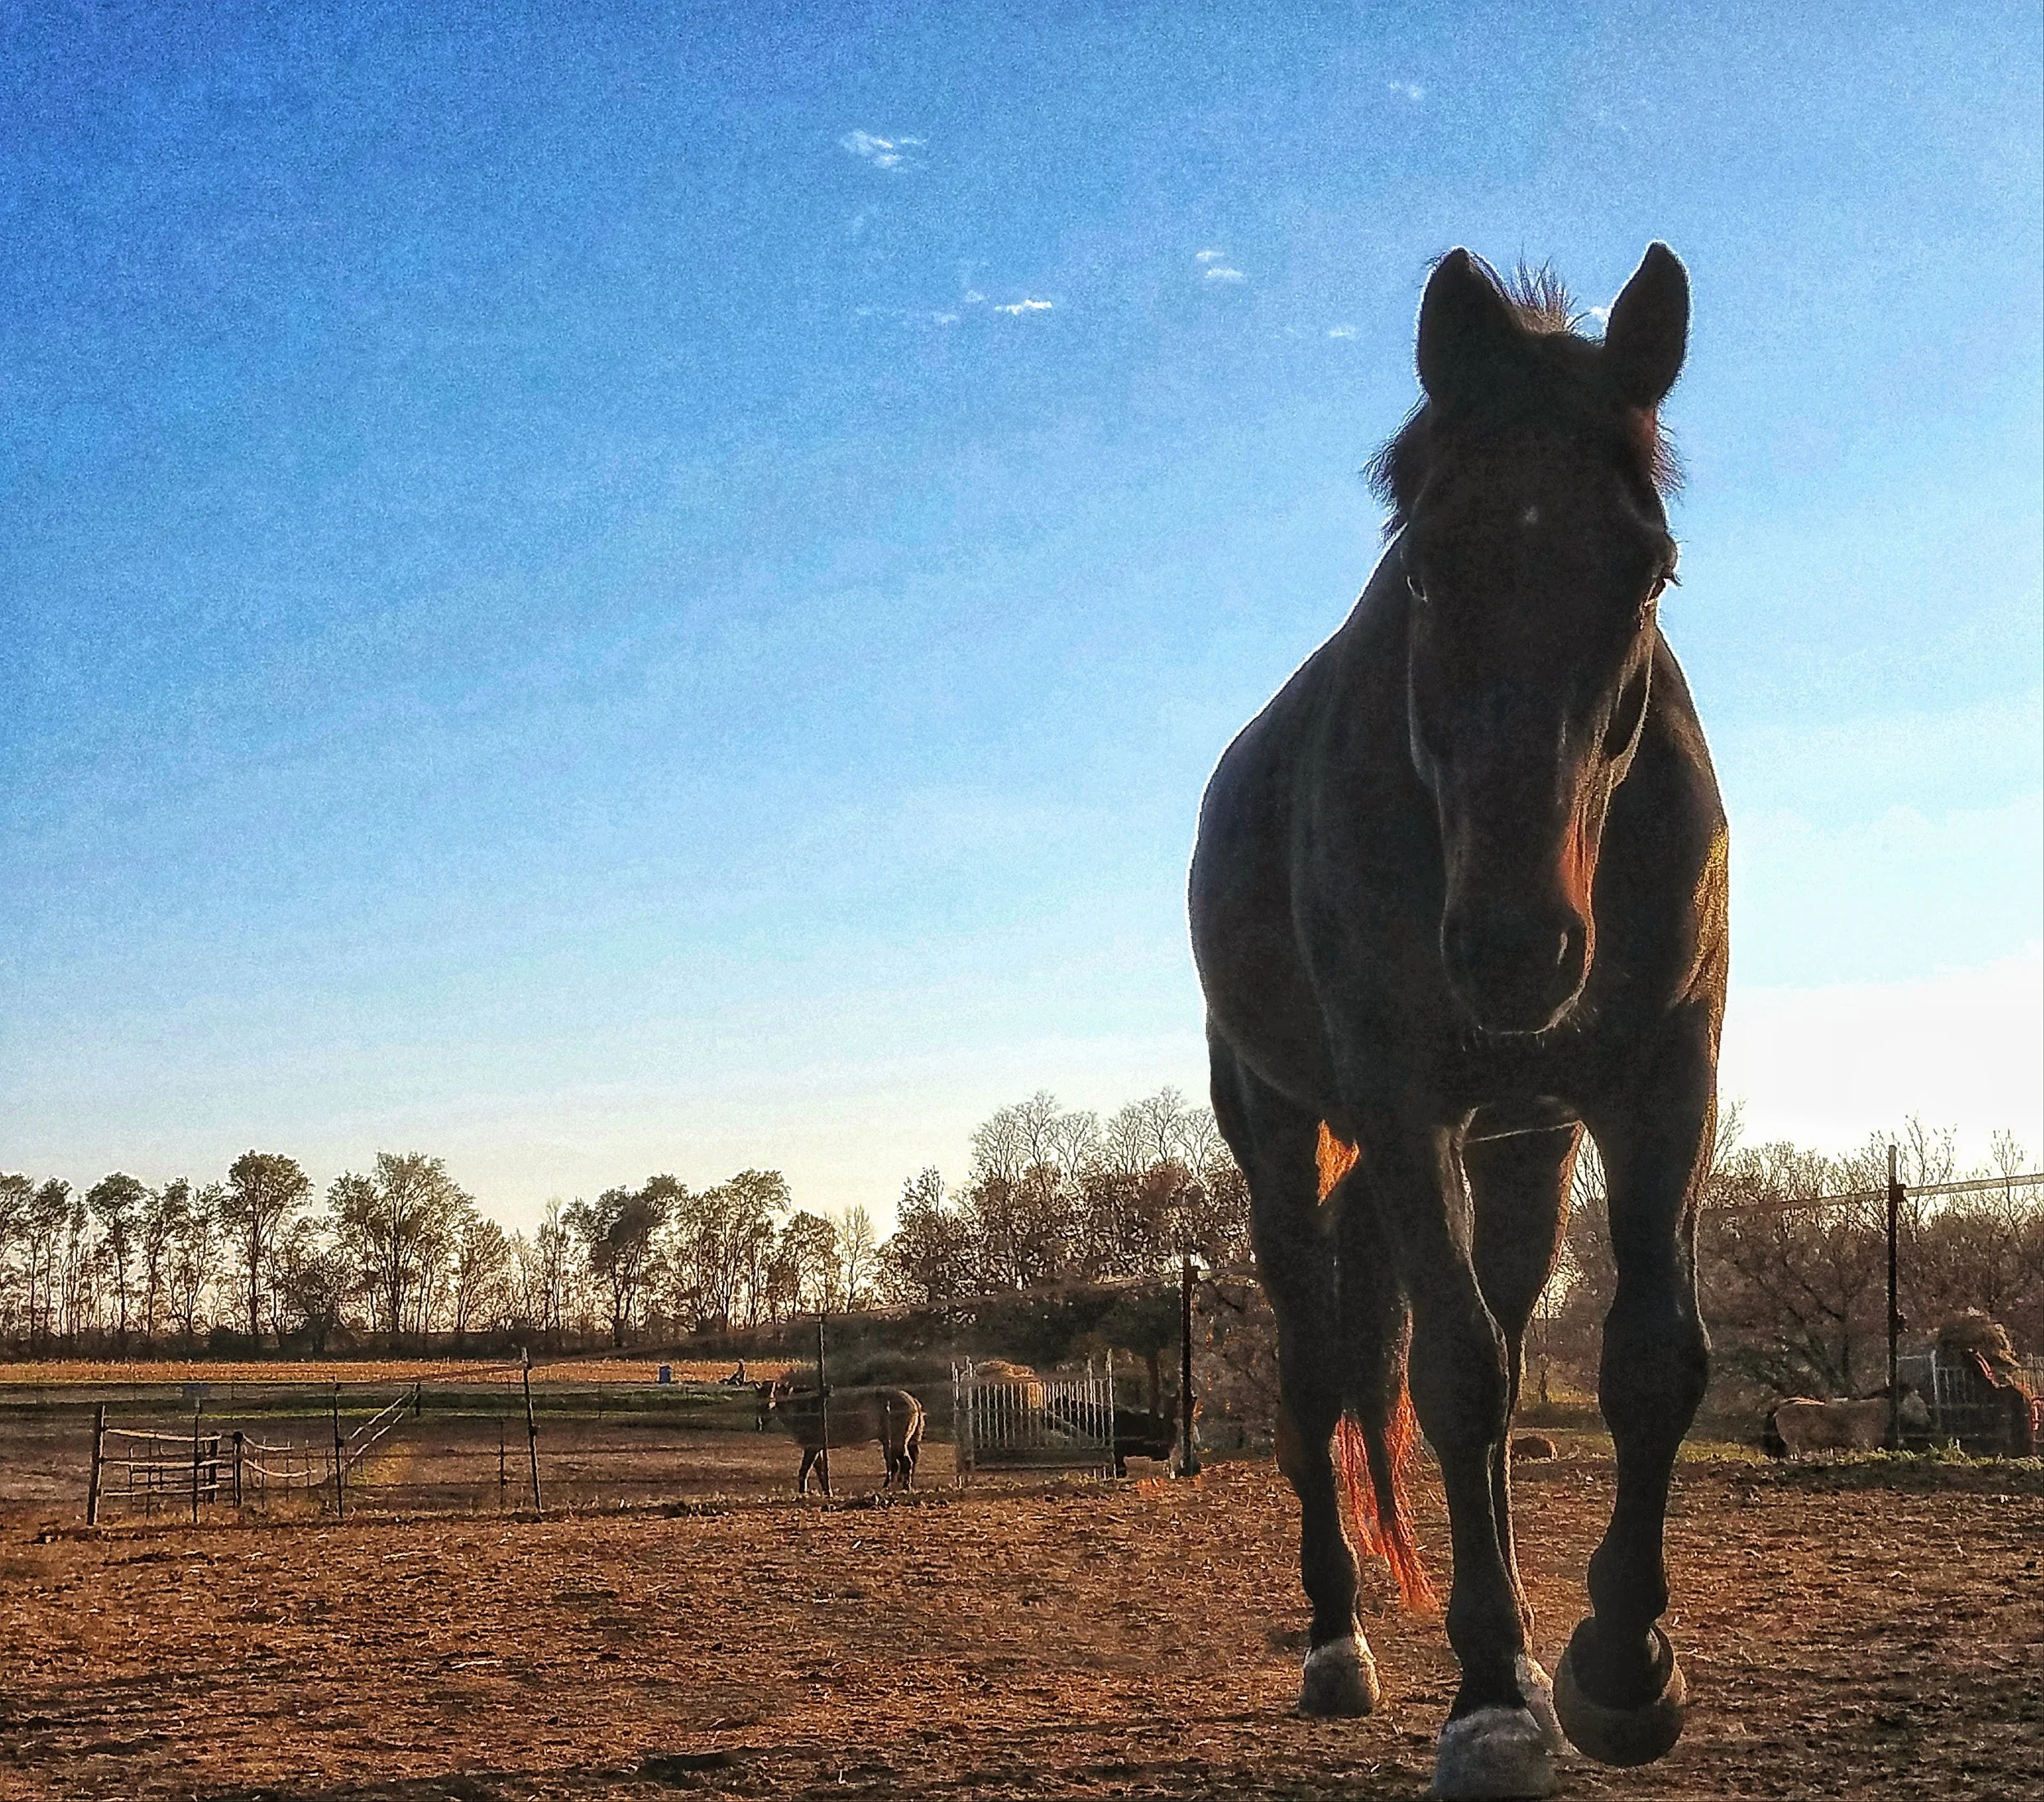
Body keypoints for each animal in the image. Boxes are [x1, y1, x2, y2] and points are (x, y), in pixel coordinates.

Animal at [755, 1379, 926, 1495]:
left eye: (771, 1398)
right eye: (758, 1400)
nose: (759, 1424)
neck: (803, 1408)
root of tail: (913, 1401)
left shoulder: (812, 1447)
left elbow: (805, 1470)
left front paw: (802, 1492)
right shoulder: (816, 1448)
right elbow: (820, 1470)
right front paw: (827, 1492)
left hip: (898, 1442)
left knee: (906, 1463)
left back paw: (905, 1488)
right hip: (889, 1442)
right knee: (897, 1464)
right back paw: (888, 1488)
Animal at [1190, 242, 1719, 1800]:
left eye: (1651, 567)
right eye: (1428, 565)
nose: (1512, 948)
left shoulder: (1666, 1078)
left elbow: (1648, 1357)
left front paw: (1620, 1669)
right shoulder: (1402, 1100)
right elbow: (1462, 1375)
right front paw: (1487, 1697)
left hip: (1527, 1140)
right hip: (1286, 1142)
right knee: (1316, 1384)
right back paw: (1341, 1642)